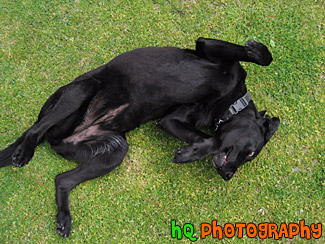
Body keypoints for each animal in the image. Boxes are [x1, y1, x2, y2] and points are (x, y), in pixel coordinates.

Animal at [0, 37, 278, 236]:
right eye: (250, 152)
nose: (228, 175)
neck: (231, 102)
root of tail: (56, 139)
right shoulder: (206, 46)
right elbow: (262, 58)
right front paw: (256, 49)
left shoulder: (173, 120)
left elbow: (213, 139)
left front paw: (189, 153)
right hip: (82, 89)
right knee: (34, 130)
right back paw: (23, 151)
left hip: (114, 150)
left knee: (62, 180)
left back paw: (64, 219)